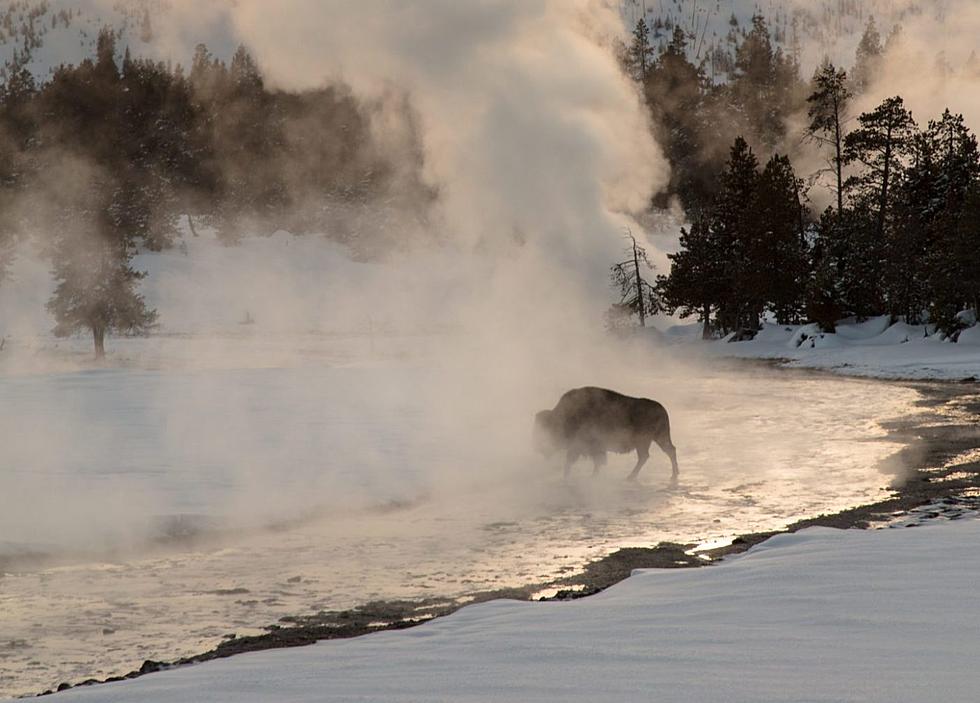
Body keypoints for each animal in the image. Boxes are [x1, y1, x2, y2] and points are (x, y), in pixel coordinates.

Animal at [532, 388, 676, 482]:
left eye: (546, 429)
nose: (538, 447)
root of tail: (662, 409)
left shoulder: (584, 446)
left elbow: (576, 461)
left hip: (648, 441)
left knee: (653, 455)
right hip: (655, 439)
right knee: (663, 452)